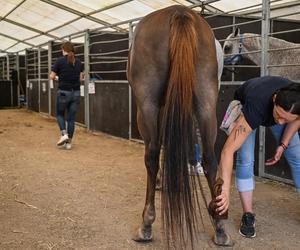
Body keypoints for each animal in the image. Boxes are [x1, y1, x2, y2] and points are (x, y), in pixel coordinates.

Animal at [126, 4, 232, 249]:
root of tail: (180, 12)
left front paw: (160, 180)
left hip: (146, 105)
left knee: (151, 155)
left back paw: (146, 225)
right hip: (206, 102)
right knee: (210, 158)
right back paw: (220, 227)